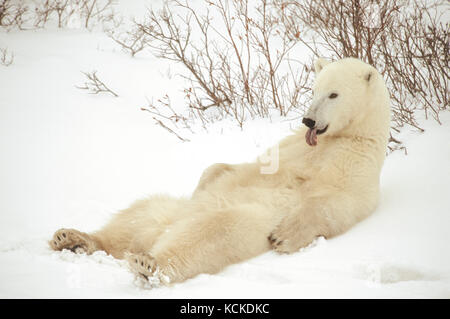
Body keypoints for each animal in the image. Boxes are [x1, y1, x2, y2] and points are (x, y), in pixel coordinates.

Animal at [49, 58, 390, 288]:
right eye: (314, 89)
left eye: (334, 95)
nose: (308, 120)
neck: (348, 136)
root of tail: (157, 235)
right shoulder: (290, 147)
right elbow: (236, 167)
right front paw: (207, 180)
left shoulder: (355, 163)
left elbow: (339, 205)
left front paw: (284, 235)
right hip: (166, 210)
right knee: (134, 218)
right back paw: (74, 238)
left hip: (237, 220)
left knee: (209, 233)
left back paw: (149, 264)